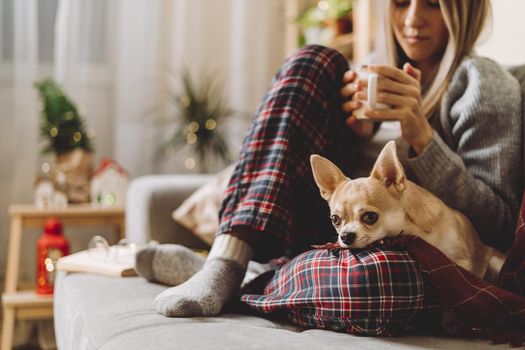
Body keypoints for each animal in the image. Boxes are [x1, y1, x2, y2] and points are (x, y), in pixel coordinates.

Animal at [310, 141, 506, 284]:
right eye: (335, 219)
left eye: (370, 217)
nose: (345, 236)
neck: (416, 230)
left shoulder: (463, 262)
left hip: (496, 261)